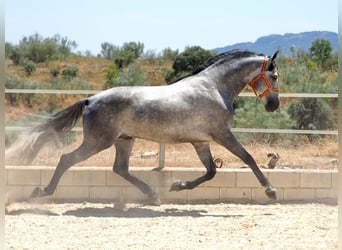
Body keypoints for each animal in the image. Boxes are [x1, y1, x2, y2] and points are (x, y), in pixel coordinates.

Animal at [6, 49, 280, 205]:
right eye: (275, 76)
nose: (273, 106)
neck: (213, 87)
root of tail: (91, 99)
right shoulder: (222, 134)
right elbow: (248, 158)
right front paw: (271, 191)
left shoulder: (201, 141)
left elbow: (211, 171)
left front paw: (177, 186)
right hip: (98, 142)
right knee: (66, 159)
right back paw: (41, 192)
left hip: (124, 140)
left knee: (120, 169)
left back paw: (153, 195)